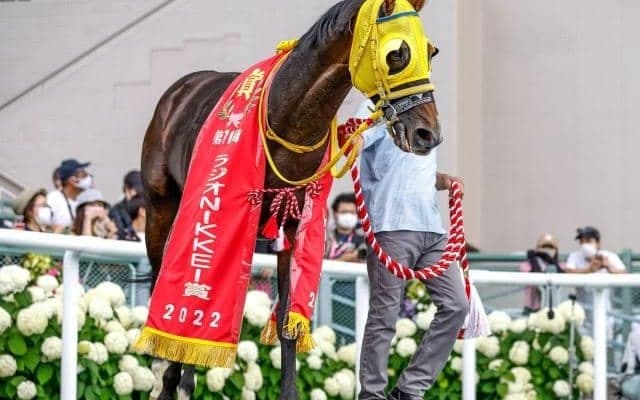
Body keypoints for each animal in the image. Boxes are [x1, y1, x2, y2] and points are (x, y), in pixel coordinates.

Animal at [140, 0, 441, 398]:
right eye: (397, 54)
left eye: (431, 52)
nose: (428, 133)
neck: (286, 119)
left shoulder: (294, 223)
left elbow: (286, 319)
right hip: (163, 207)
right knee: (164, 283)